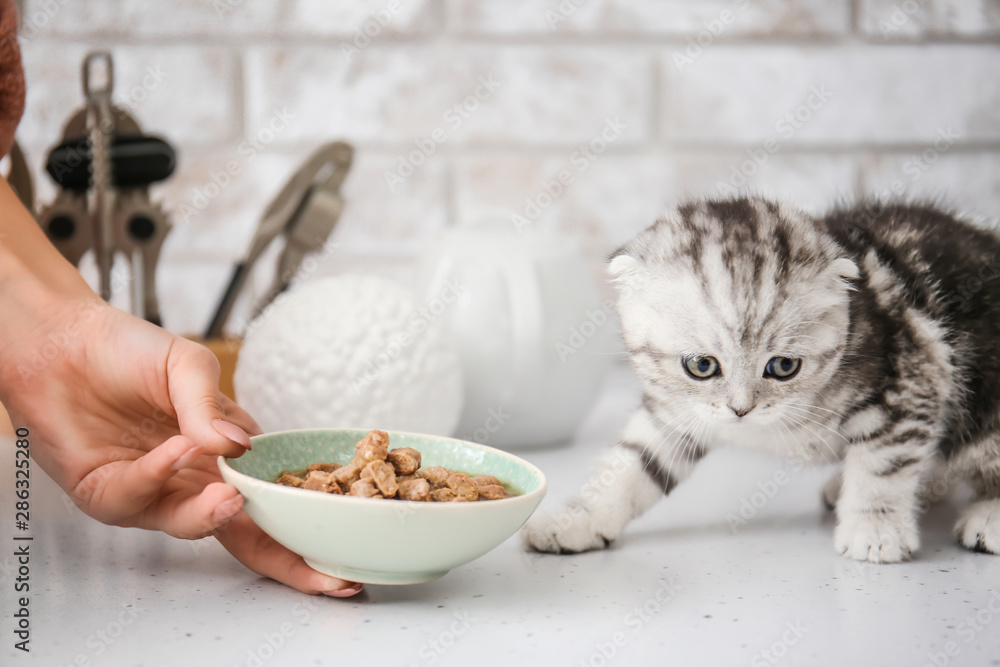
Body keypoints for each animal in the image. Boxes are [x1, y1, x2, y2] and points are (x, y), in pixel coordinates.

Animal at [524, 197, 1000, 564]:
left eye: (783, 366)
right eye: (702, 366)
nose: (741, 409)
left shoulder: (911, 378)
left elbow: (884, 463)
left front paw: (876, 528)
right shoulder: (678, 414)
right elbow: (633, 464)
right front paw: (579, 518)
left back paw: (987, 516)